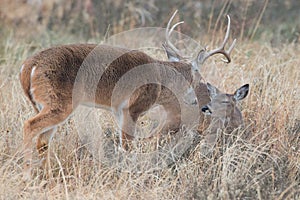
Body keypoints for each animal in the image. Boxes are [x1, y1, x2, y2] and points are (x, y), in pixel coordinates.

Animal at [19, 10, 237, 180]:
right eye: (199, 76)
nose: (197, 102)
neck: (160, 79)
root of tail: (28, 67)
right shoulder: (133, 108)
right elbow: (128, 145)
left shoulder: (119, 110)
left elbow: (122, 144)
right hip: (60, 103)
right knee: (29, 125)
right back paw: (28, 175)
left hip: (47, 104)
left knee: (43, 141)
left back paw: (46, 176)